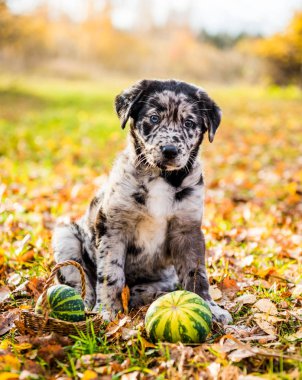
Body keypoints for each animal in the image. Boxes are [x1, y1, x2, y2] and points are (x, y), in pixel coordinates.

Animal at [53, 79, 234, 324]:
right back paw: (86, 304)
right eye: (154, 118)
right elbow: (110, 273)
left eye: (189, 123)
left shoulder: (188, 230)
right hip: (65, 238)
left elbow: (197, 273)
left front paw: (210, 307)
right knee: (80, 279)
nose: (169, 150)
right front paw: (107, 311)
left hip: (167, 276)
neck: (161, 178)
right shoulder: (112, 226)